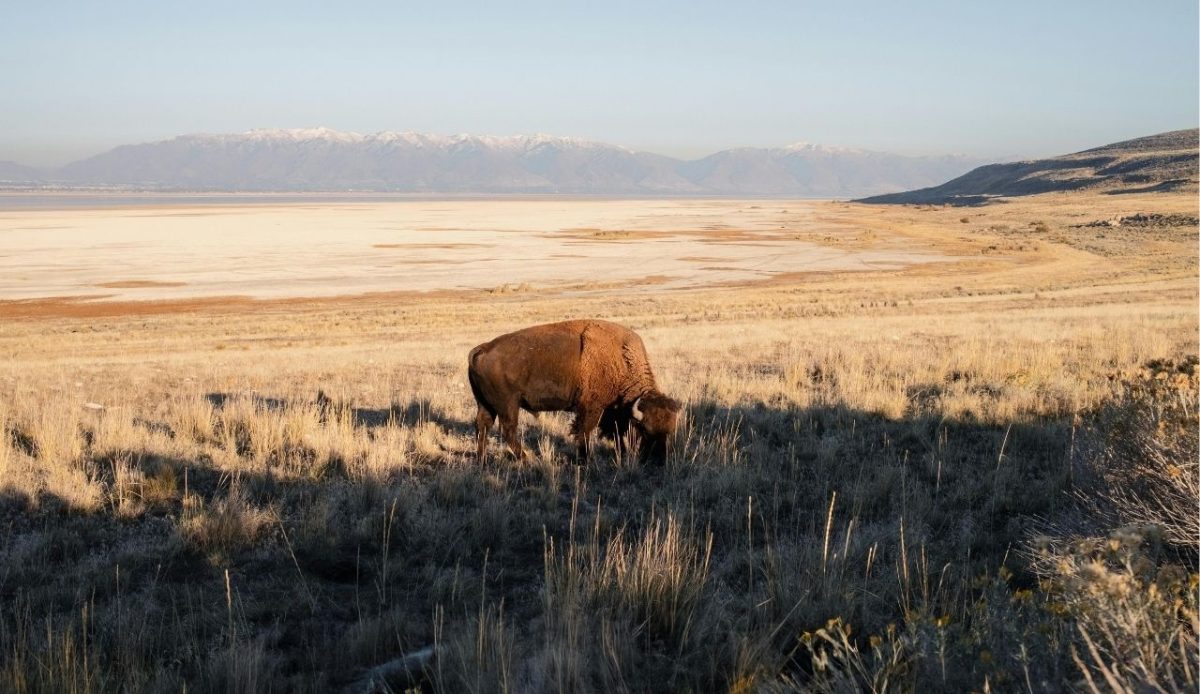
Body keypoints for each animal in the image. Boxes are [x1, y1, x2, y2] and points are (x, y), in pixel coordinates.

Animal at [468, 319, 681, 463]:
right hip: (508, 405)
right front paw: (584, 460)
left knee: (482, 426)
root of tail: (482, 349)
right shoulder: (591, 408)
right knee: (508, 430)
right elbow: (584, 432)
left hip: (485, 404)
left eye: (670, 431)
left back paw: (482, 460)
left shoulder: (611, 411)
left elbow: (616, 434)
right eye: (645, 429)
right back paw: (527, 459)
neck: (620, 359)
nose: (659, 460)